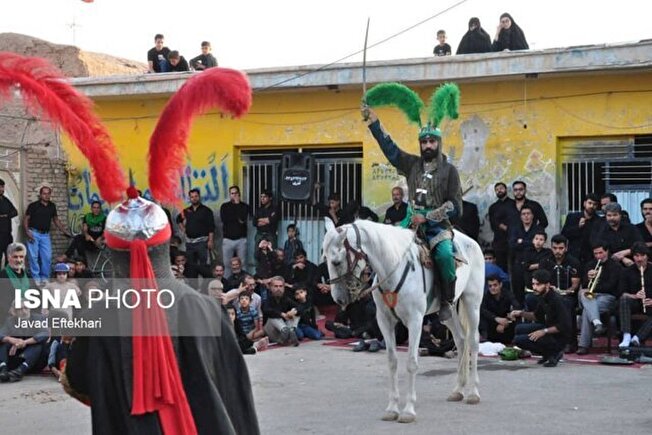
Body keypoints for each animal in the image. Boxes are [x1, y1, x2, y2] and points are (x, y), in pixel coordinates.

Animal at [324, 220, 486, 424]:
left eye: (336, 261)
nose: (338, 299)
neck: (393, 267)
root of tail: (472, 241)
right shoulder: (384, 321)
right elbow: (392, 361)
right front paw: (392, 408)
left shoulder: (415, 320)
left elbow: (411, 363)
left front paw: (408, 410)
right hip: (449, 313)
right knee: (460, 340)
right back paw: (458, 390)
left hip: (472, 302)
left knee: (473, 341)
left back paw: (473, 392)